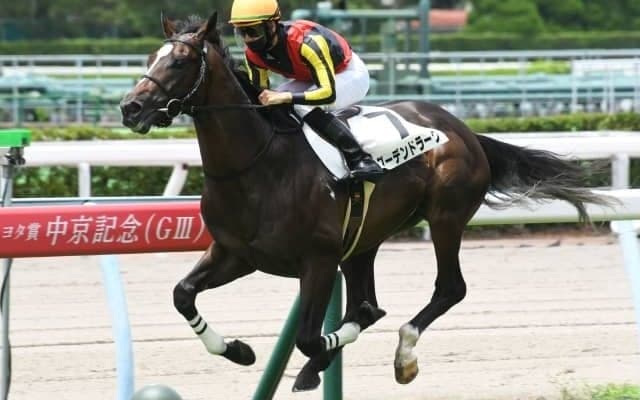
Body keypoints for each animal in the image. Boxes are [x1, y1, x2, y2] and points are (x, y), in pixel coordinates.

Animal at [120, 11, 611, 392]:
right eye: (149, 59)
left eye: (181, 61)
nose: (130, 108)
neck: (257, 165)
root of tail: (463, 129)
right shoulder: (236, 253)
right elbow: (183, 295)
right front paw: (238, 350)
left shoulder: (317, 260)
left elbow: (312, 336)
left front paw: (316, 359)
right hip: (364, 238)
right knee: (367, 300)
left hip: (445, 216)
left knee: (447, 288)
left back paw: (404, 356)